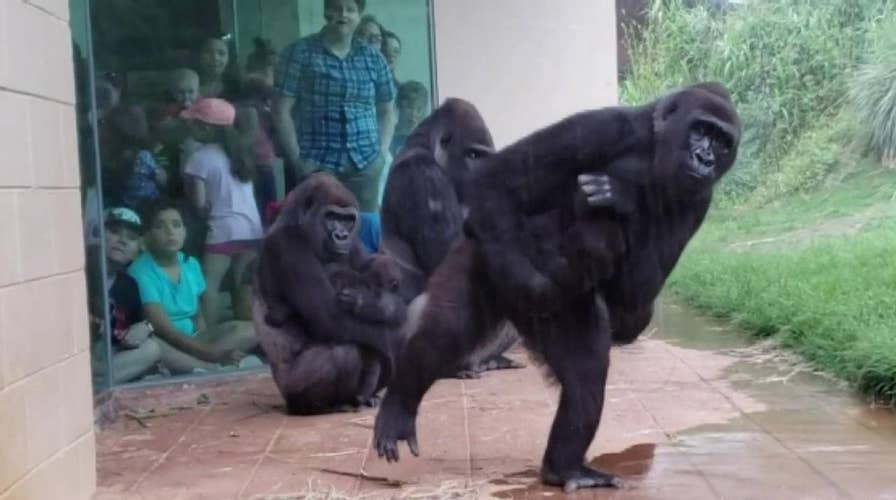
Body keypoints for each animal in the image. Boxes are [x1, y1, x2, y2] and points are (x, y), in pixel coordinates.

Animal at [252, 174, 406, 416]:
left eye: (348, 220)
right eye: (331, 217)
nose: (341, 235)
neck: (296, 221)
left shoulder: (354, 242)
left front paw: (375, 304)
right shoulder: (286, 244)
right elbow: (329, 317)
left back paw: (366, 397)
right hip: (290, 389)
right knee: (346, 352)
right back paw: (319, 405)